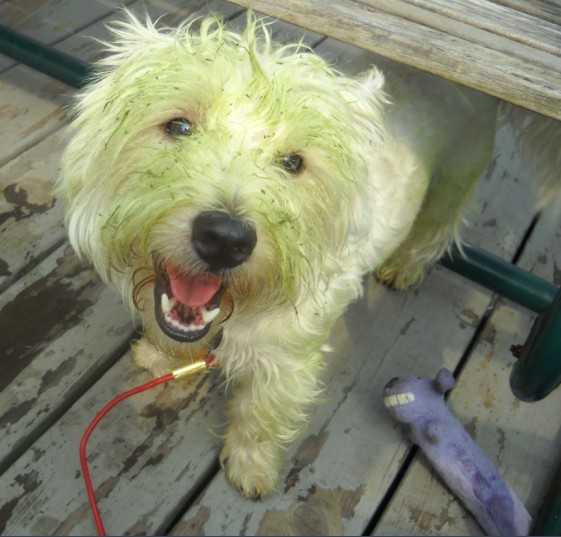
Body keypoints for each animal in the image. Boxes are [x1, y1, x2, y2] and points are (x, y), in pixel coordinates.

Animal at [58, 11, 560, 498]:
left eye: (293, 162)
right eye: (178, 126)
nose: (225, 238)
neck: (235, 317)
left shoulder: (290, 360)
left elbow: (263, 414)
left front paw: (251, 468)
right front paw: (158, 356)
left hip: (457, 172)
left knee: (441, 222)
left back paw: (405, 265)